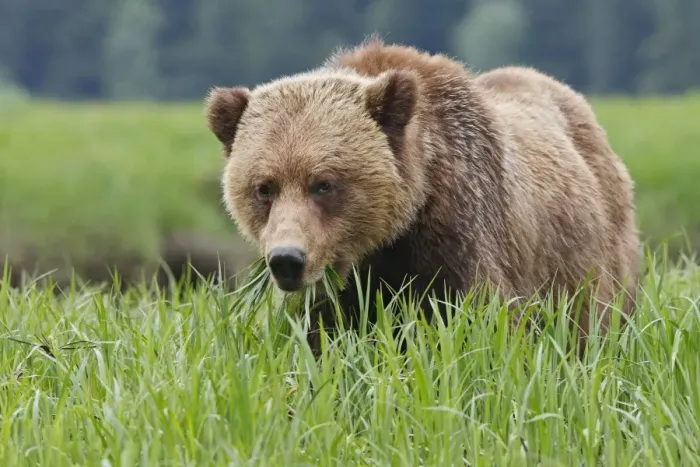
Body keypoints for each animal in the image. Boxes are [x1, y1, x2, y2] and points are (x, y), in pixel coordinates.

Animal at [204, 37, 641, 357]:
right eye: (264, 187)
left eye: (324, 183)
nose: (287, 260)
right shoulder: (337, 290)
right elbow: (320, 345)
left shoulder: (462, 234)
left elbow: (483, 330)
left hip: (587, 258)